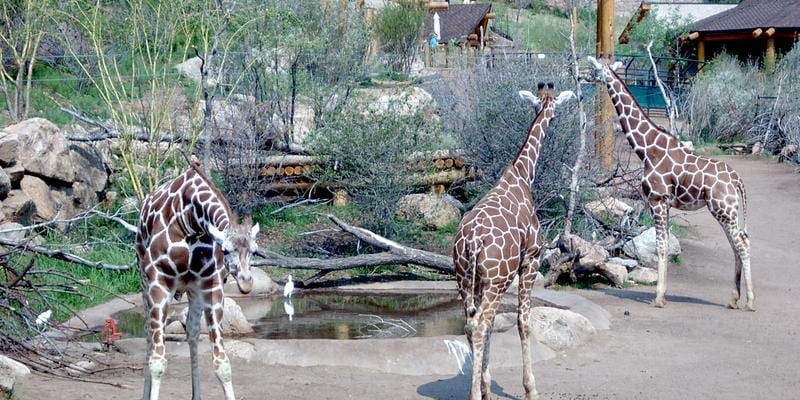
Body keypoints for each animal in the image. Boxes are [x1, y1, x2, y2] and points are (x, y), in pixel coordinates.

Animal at [135, 162, 260, 400]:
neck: (190, 221)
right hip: (145, 282)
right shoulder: (158, 281)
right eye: (226, 250)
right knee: (148, 334)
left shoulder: (211, 285)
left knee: (192, 332)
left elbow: (222, 363)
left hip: (193, 289)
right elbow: (158, 362)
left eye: (254, 250)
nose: (246, 284)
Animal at [450, 83, 576, 398]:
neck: (522, 174)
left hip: (464, 279)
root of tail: (472, 242)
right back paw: (474, 395)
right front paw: (531, 388)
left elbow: (497, 323)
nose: (551, 120)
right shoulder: (531, 260)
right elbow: (523, 321)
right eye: (554, 113)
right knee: (480, 325)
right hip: (497, 279)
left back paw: (480, 390)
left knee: (472, 324)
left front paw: (487, 384)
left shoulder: (482, 281)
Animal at [584, 56, 752, 310]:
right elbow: (660, 245)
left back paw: (750, 301)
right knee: (737, 244)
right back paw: (733, 299)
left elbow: (661, 247)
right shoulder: (665, 203)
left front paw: (658, 298)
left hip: (724, 210)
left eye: (595, 69)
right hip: (726, 212)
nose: (582, 77)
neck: (647, 149)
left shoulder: (658, 200)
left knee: (742, 244)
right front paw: (661, 294)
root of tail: (737, 180)